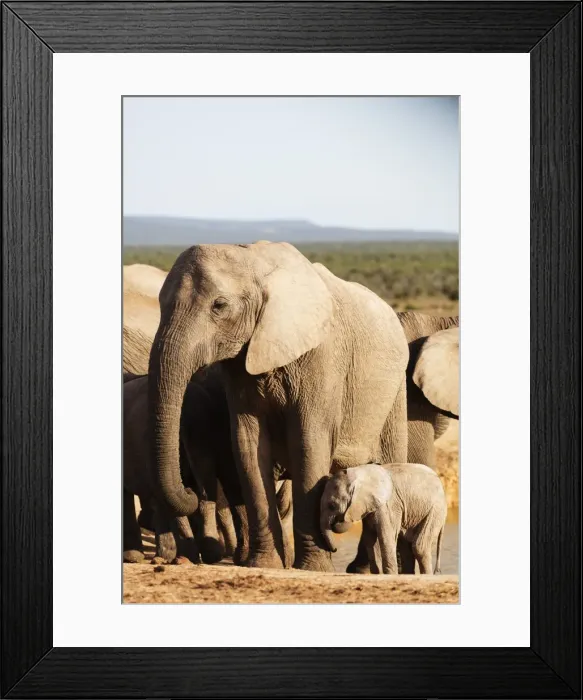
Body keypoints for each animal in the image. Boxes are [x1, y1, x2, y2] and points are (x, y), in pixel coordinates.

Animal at [148, 241, 409, 572]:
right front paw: (264, 565)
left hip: (395, 391)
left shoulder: (321, 357)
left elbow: (308, 444)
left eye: (219, 306)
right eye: (160, 304)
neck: (255, 260)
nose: (192, 490)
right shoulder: (241, 365)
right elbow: (248, 446)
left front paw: (312, 569)